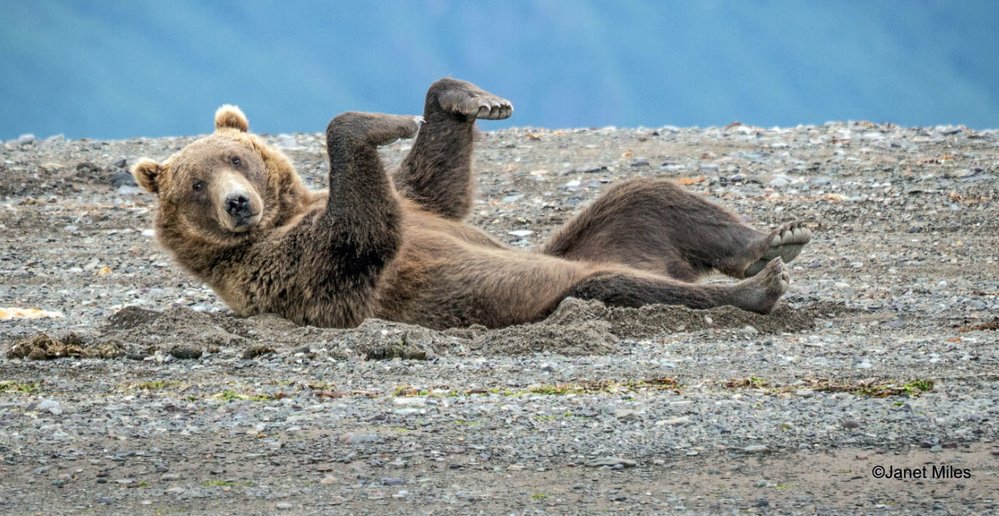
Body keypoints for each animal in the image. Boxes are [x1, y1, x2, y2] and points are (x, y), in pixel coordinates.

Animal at [131, 77, 812, 328]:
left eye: (237, 158)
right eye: (195, 184)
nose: (238, 204)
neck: (286, 213)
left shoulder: (418, 203)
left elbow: (433, 183)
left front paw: (471, 100)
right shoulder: (283, 269)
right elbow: (360, 233)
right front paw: (379, 122)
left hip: (602, 234)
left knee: (645, 196)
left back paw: (772, 241)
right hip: (548, 287)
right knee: (619, 285)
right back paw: (756, 288)